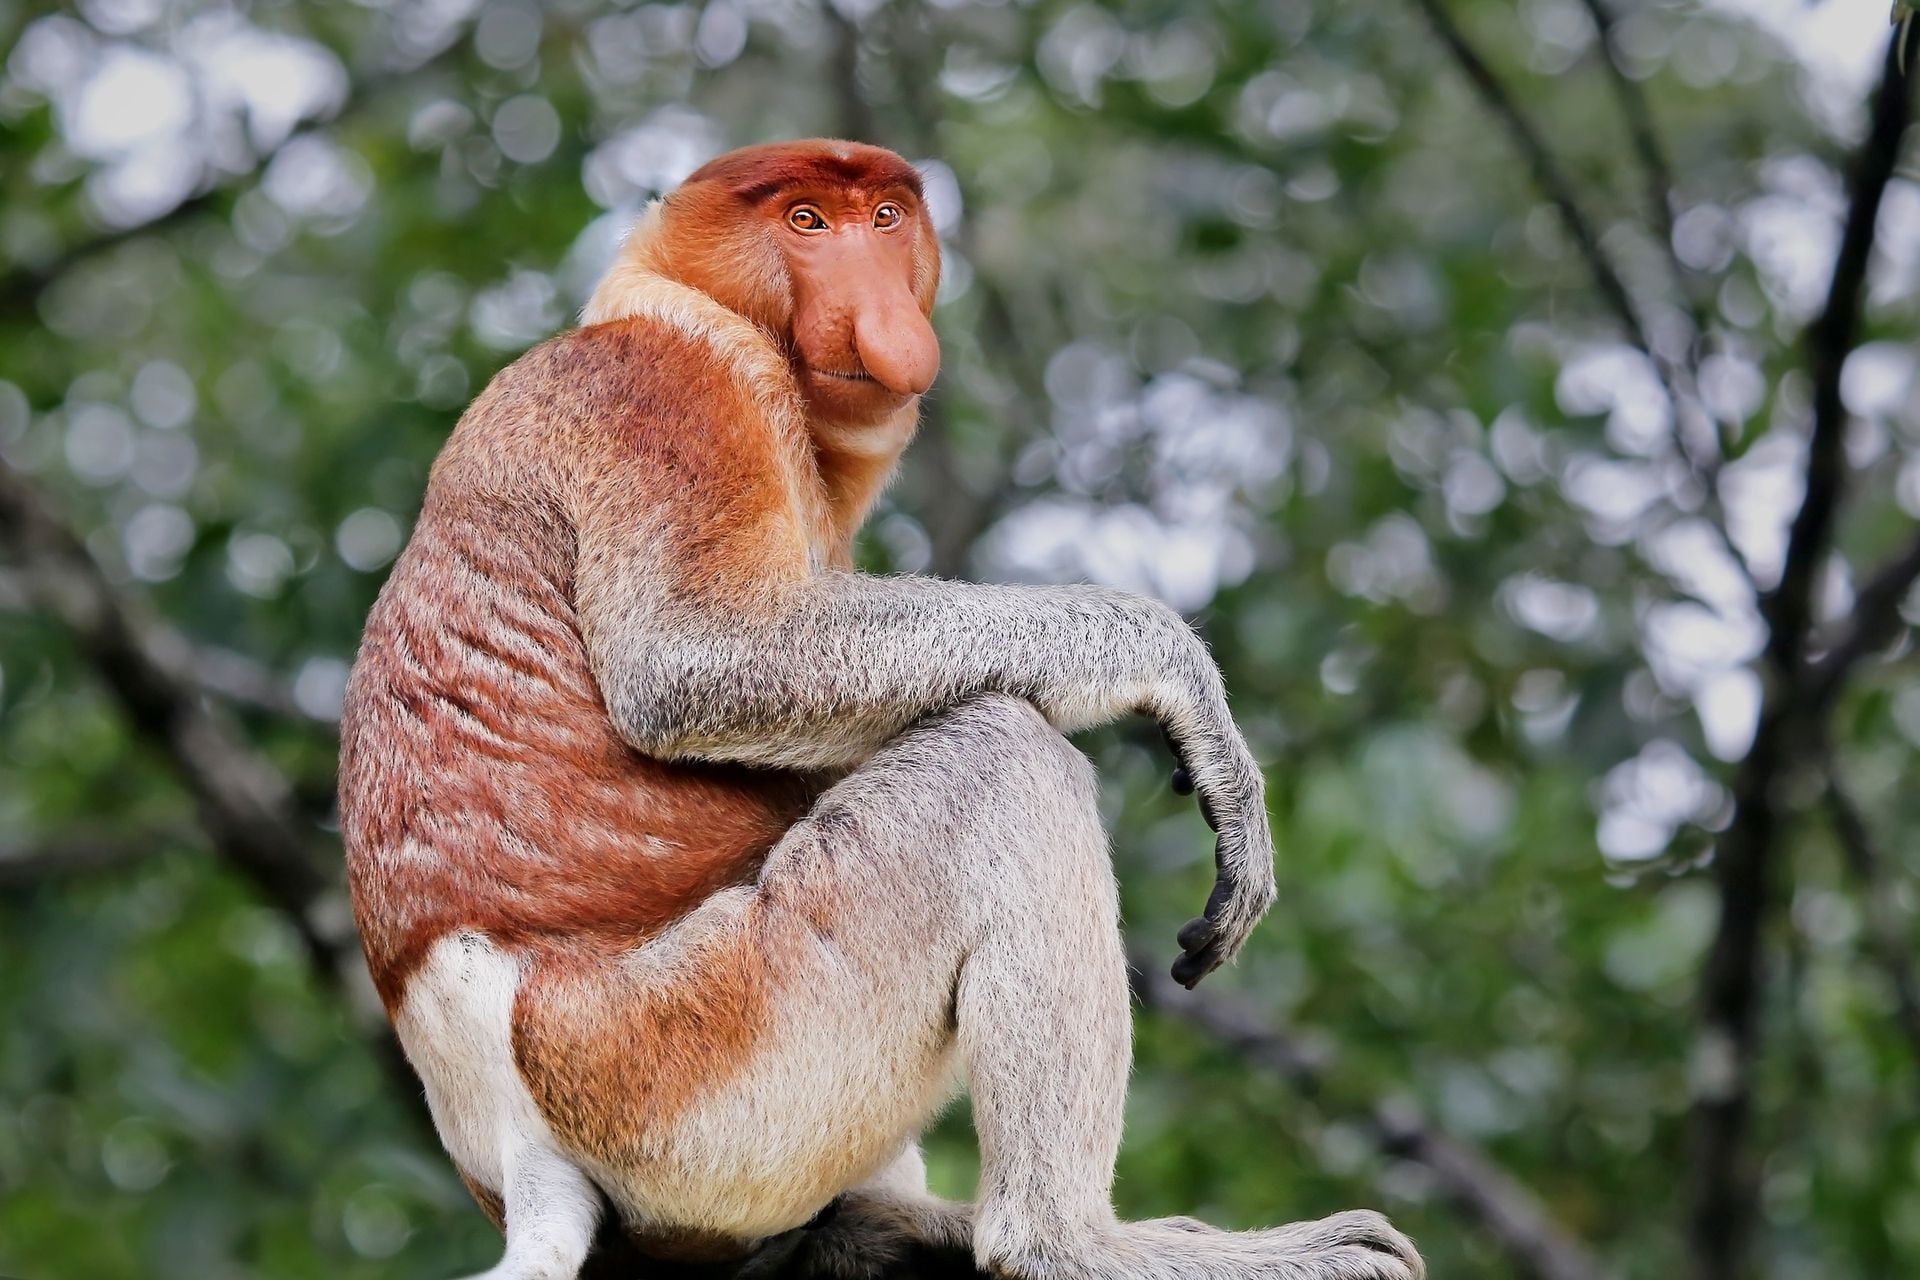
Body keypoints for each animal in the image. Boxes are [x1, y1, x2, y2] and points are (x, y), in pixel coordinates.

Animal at [338, 139, 1422, 1280]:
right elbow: (696, 656)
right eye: (807, 220)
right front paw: (1178, 681)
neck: (674, 301)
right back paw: (1077, 1242)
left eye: (887, 217)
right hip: (693, 1052)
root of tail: (506, 1139)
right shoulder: (672, 388)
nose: (883, 316)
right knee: (996, 757)